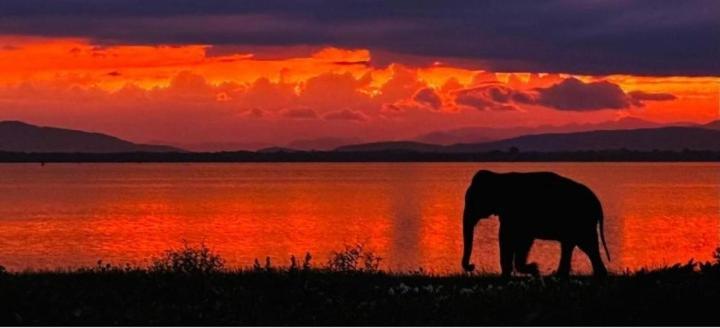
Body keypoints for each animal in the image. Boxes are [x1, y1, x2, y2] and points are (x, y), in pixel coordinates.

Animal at [462, 169, 608, 276]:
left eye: (473, 201)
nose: (472, 266)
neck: (499, 176)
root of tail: (597, 203)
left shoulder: (515, 213)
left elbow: (511, 237)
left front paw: (534, 269)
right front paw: (533, 270)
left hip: (583, 221)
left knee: (587, 245)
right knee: (576, 245)